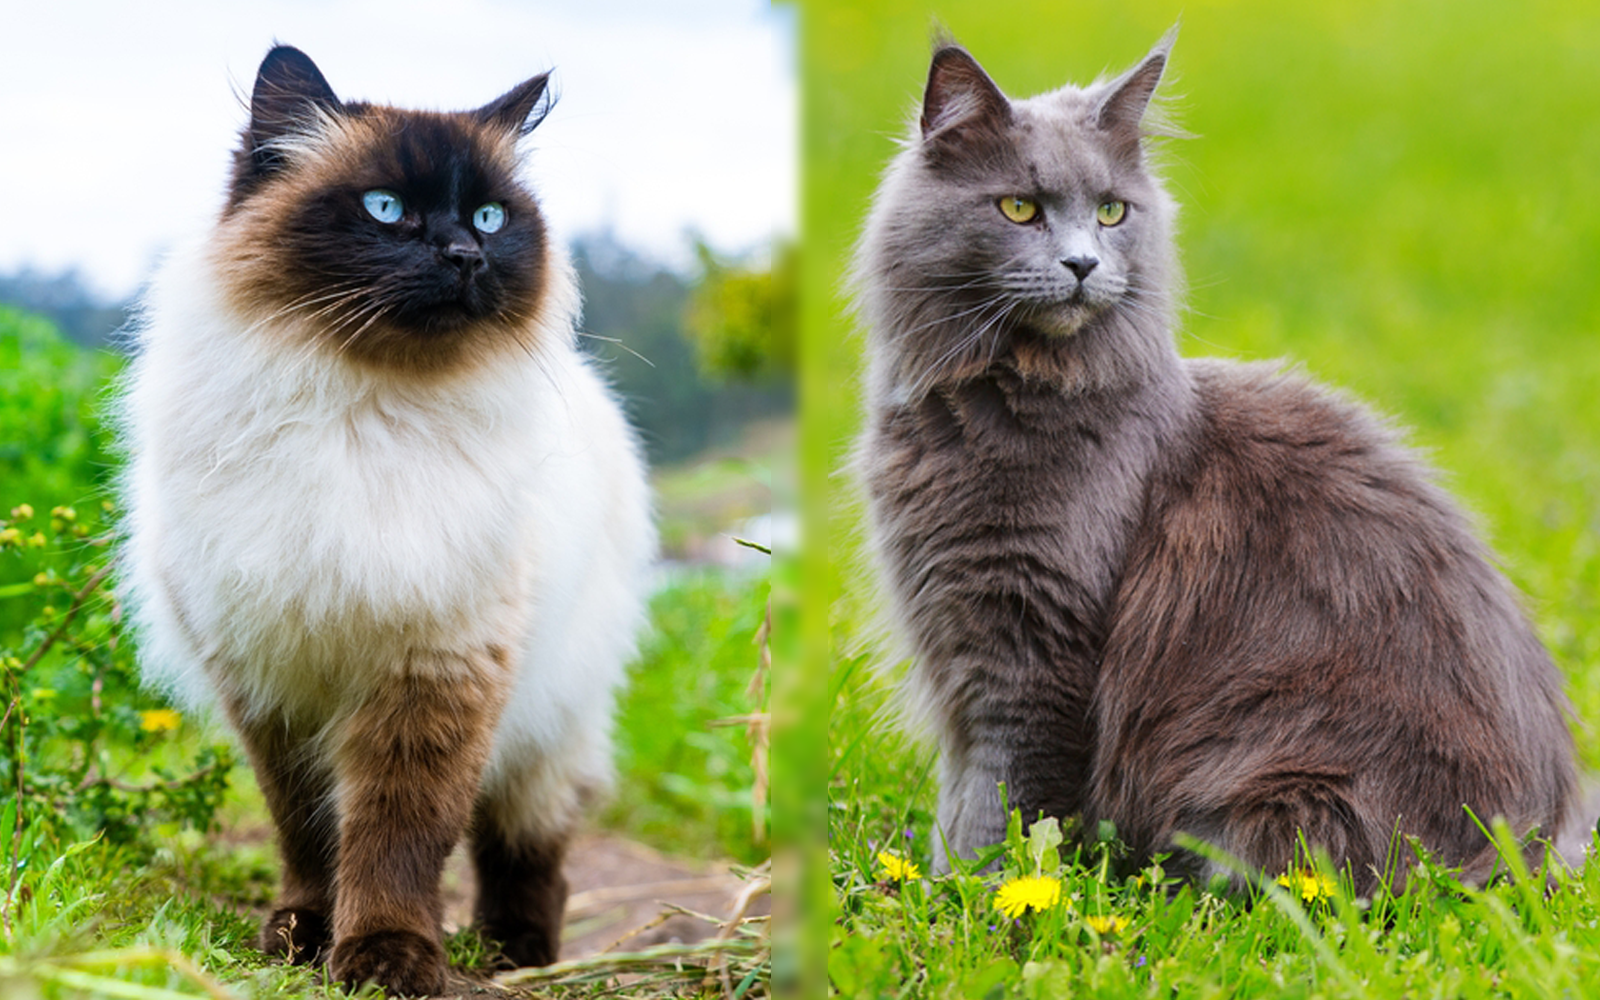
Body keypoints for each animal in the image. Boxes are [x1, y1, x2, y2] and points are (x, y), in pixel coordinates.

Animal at [116, 46, 656, 992]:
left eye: (488, 217)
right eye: (385, 209)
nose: (464, 254)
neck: (365, 414)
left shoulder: (434, 669)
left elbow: (397, 835)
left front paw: (386, 956)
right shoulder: (274, 685)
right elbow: (309, 834)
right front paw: (303, 937)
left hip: (548, 722)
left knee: (528, 849)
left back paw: (514, 952)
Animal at [857, 33, 1580, 889]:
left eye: (1111, 211)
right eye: (1019, 208)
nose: (1081, 264)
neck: (1002, 398)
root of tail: (1536, 852)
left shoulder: (1031, 647)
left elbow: (1002, 802)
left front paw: (971, 889)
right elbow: (964, 788)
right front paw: (942, 879)